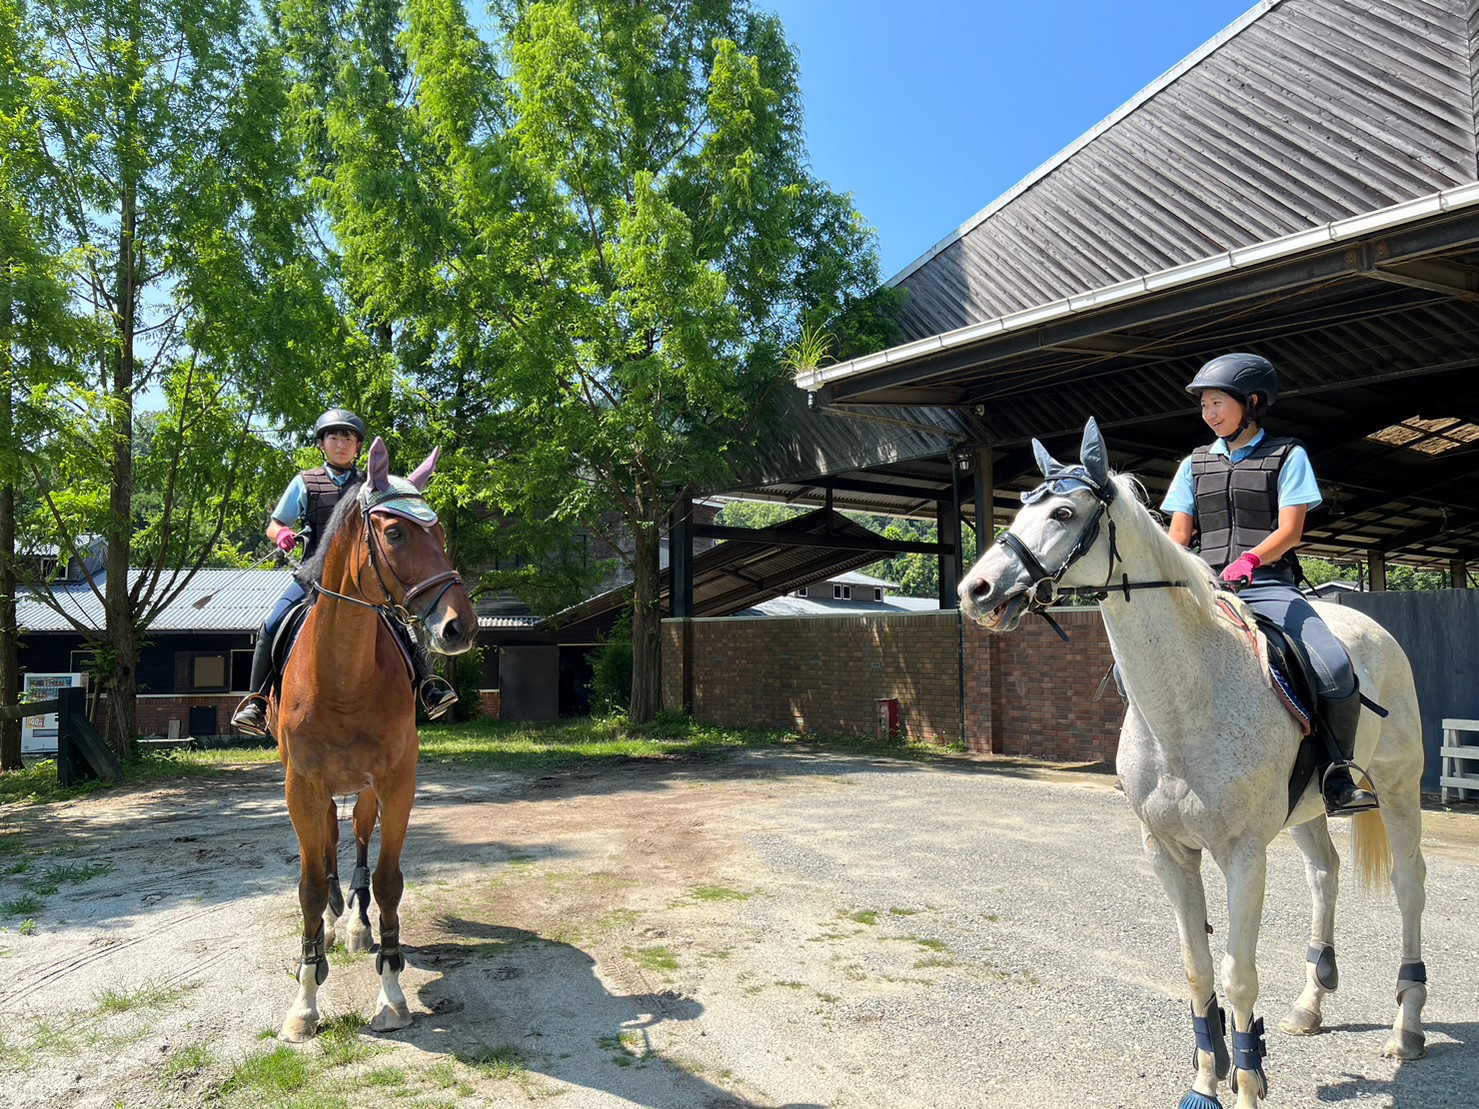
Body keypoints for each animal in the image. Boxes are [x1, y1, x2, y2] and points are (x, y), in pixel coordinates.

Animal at [271, 436, 477, 1042]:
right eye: (395, 533)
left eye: (441, 534)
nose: (461, 626)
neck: (342, 676)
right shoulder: (301, 786)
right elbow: (309, 886)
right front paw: (304, 1001)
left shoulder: (394, 782)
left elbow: (386, 882)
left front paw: (390, 994)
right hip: (318, 792)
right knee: (325, 852)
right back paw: (330, 928)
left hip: (362, 792)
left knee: (358, 845)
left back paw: (357, 928)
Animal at [957, 418, 1428, 1109]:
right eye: (1019, 507)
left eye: (1063, 512)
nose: (976, 590)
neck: (1186, 703)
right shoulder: (1168, 852)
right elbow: (1196, 969)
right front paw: (1207, 1082)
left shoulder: (1243, 853)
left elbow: (1236, 976)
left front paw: (1248, 1085)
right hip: (1310, 810)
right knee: (1325, 874)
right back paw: (1310, 1005)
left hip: (1398, 789)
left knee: (1408, 885)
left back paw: (1407, 1029)